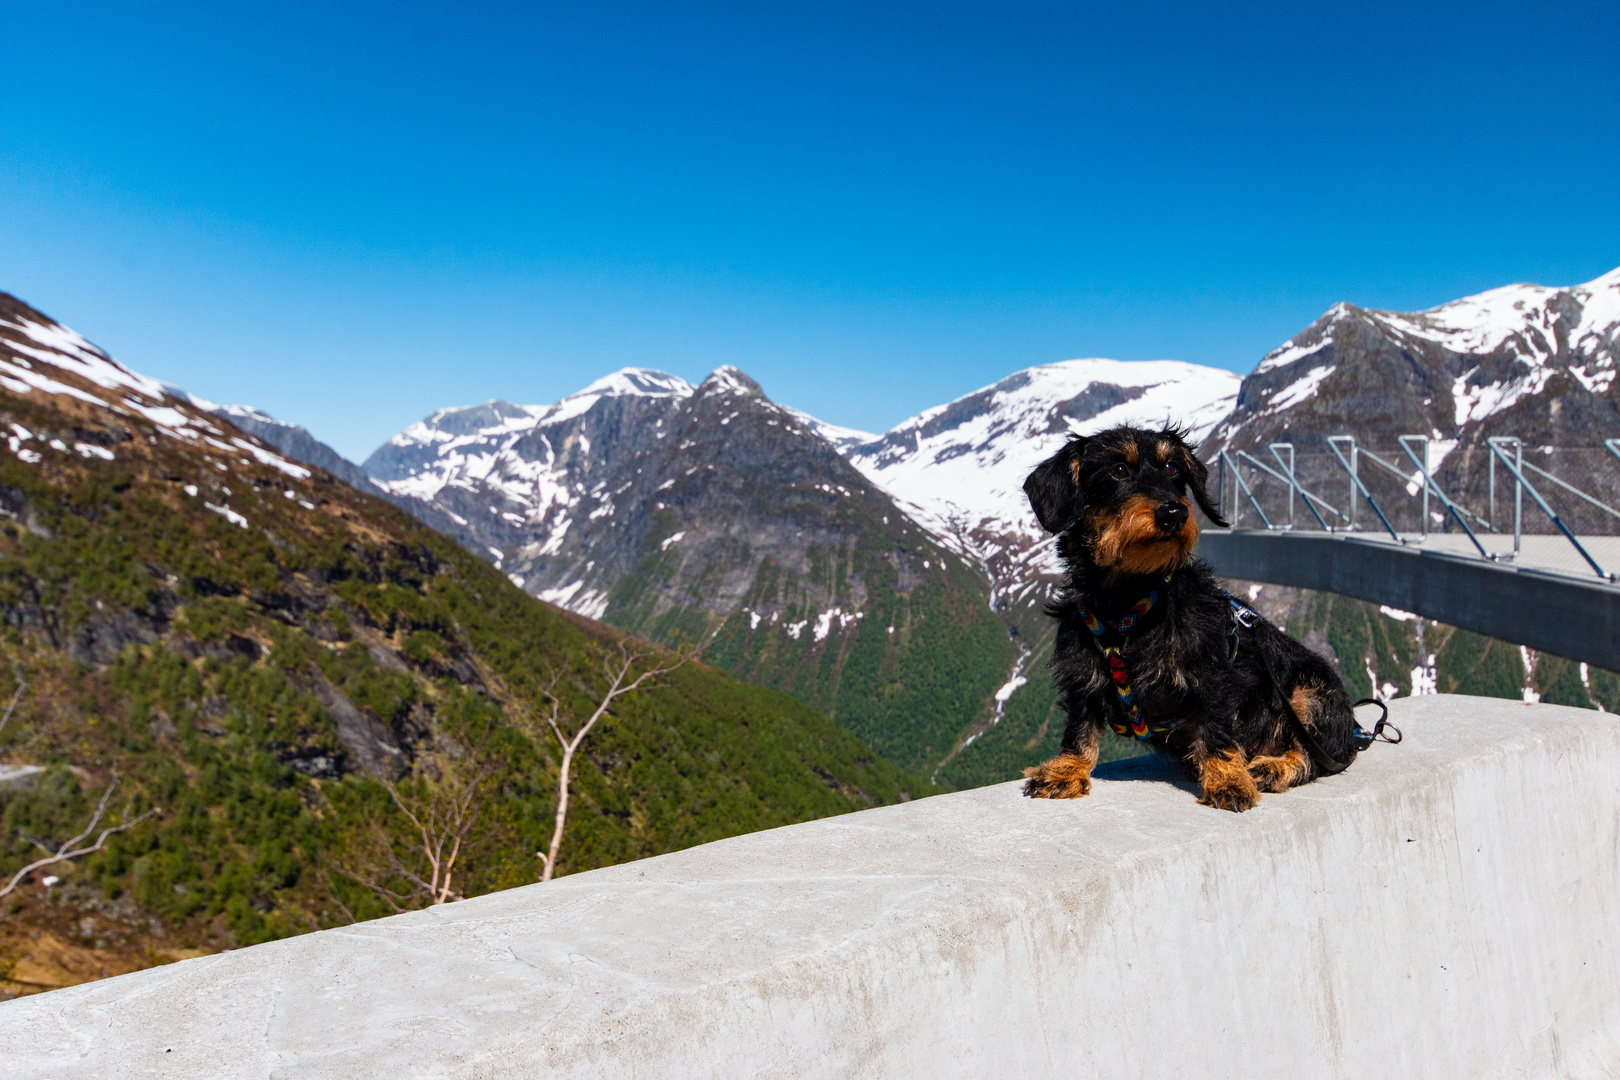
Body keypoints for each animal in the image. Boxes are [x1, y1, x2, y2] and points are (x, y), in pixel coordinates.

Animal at [1023, 424, 1354, 809]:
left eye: (1172, 469)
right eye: (1118, 470)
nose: (1174, 513)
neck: (1130, 606)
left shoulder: (1213, 677)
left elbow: (1216, 730)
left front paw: (1227, 779)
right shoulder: (1082, 678)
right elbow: (1079, 729)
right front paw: (1066, 770)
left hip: (1311, 691)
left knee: (1311, 755)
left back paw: (1274, 766)